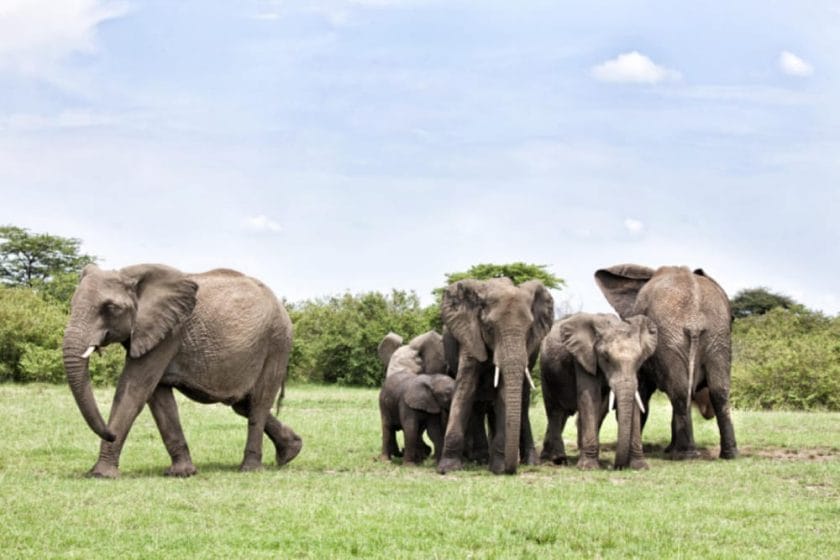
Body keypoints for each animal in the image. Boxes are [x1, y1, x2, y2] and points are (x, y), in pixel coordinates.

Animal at [64, 264, 304, 476]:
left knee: (258, 403)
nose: (110, 434)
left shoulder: (170, 333)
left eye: (111, 308)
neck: (129, 274)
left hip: (276, 342)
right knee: (242, 404)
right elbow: (159, 399)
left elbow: (134, 390)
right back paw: (290, 452)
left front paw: (101, 474)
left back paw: (250, 469)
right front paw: (182, 473)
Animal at [436, 278, 556, 474]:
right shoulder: (470, 334)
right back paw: (480, 459)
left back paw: (529, 462)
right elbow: (465, 388)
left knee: (522, 403)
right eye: (489, 327)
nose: (510, 469)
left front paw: (498, 468)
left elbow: (504, 395)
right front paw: (447, 468)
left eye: (529, 329)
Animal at [540, 312, 660, 470]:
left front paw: (640, 466)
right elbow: (590, 397)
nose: (616, 467)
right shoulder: (584, 358)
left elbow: (635, 400)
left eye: (639, 358)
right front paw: (588, 467)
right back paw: (558, 460)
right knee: (555, 411)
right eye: (605, 357)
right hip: (546, 372)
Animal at [592, 264, 740, 462]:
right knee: (717, 391)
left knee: (681, 392)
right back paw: (727, 455)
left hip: (677, 338)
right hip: (715, 337)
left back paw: (686, 455)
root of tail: (694, 319)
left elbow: (643, 392)